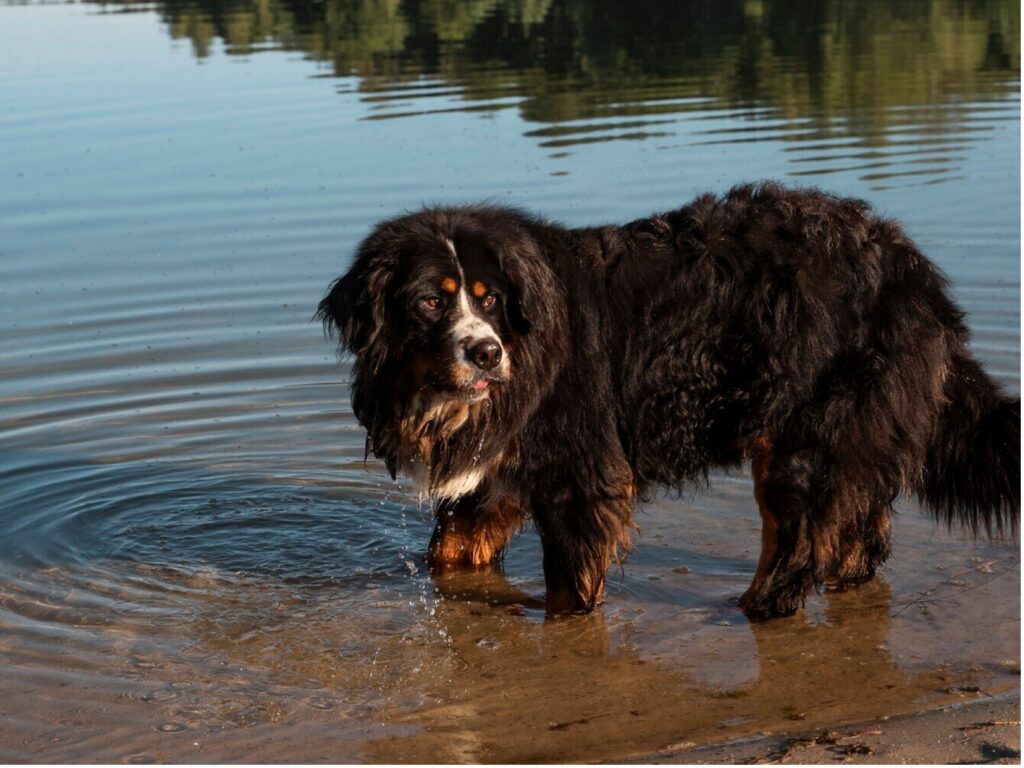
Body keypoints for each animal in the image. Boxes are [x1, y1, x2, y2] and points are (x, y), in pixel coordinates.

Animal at [315, 182, 1019, 618]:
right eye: (432, 301)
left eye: (489, 300)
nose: (487, 352)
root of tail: (909, 267)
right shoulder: (495, 477)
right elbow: (450, 552)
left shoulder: (580, 474)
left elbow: (569, 585)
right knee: (859, 540)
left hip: (805, 436)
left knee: (799, 546)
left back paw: (750, 610)